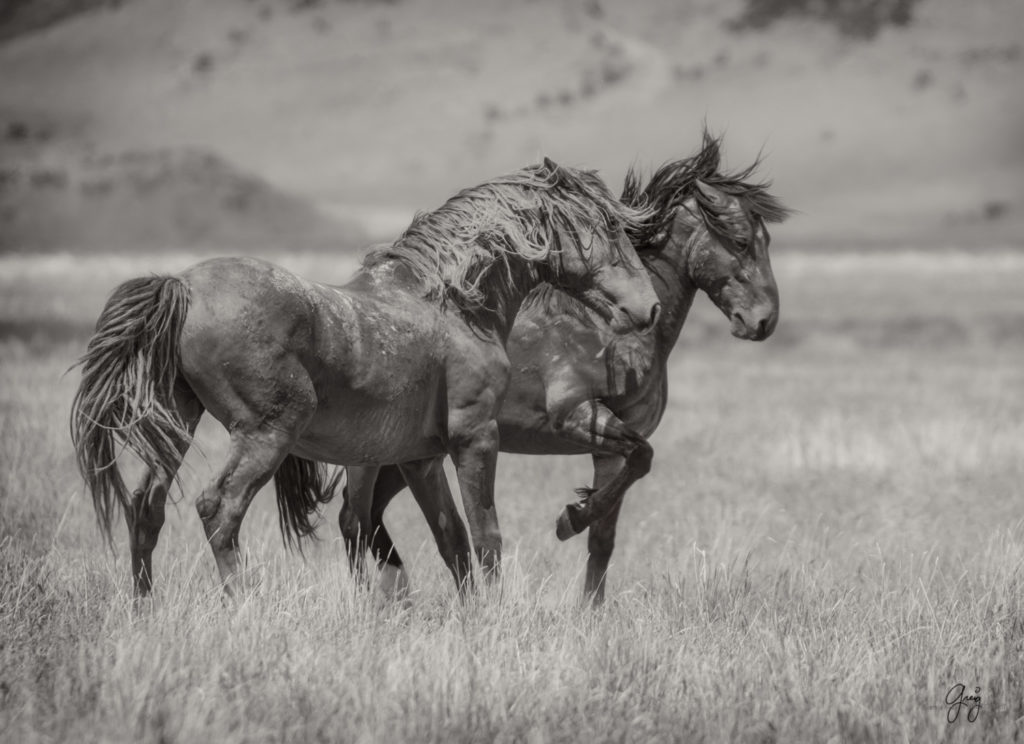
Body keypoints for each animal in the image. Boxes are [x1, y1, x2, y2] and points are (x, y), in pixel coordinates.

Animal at [68, 158, 659, 597]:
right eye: (608, 227)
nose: (650, 307)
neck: (453, 305)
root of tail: (183, 285)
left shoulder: (420, 459)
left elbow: (453, 542)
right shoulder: (475, 439)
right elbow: (486, 536)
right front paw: (559, 535)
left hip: (177, 425)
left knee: (145, 509)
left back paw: (145, 609)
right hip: (266, 434)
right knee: (219, 511)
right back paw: (243, 606)